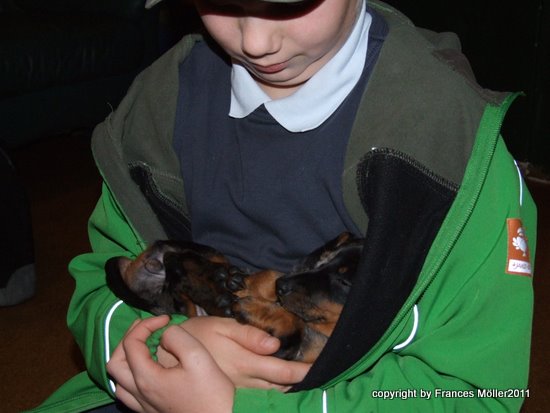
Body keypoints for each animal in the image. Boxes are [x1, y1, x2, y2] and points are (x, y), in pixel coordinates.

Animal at [105, 232, 364, 362]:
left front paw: (254, 307)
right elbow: (270, 275)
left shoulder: (289, 351)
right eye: (322, 261)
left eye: (345, 282)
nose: (283, 287)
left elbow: (293, 323)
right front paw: (245, 287)